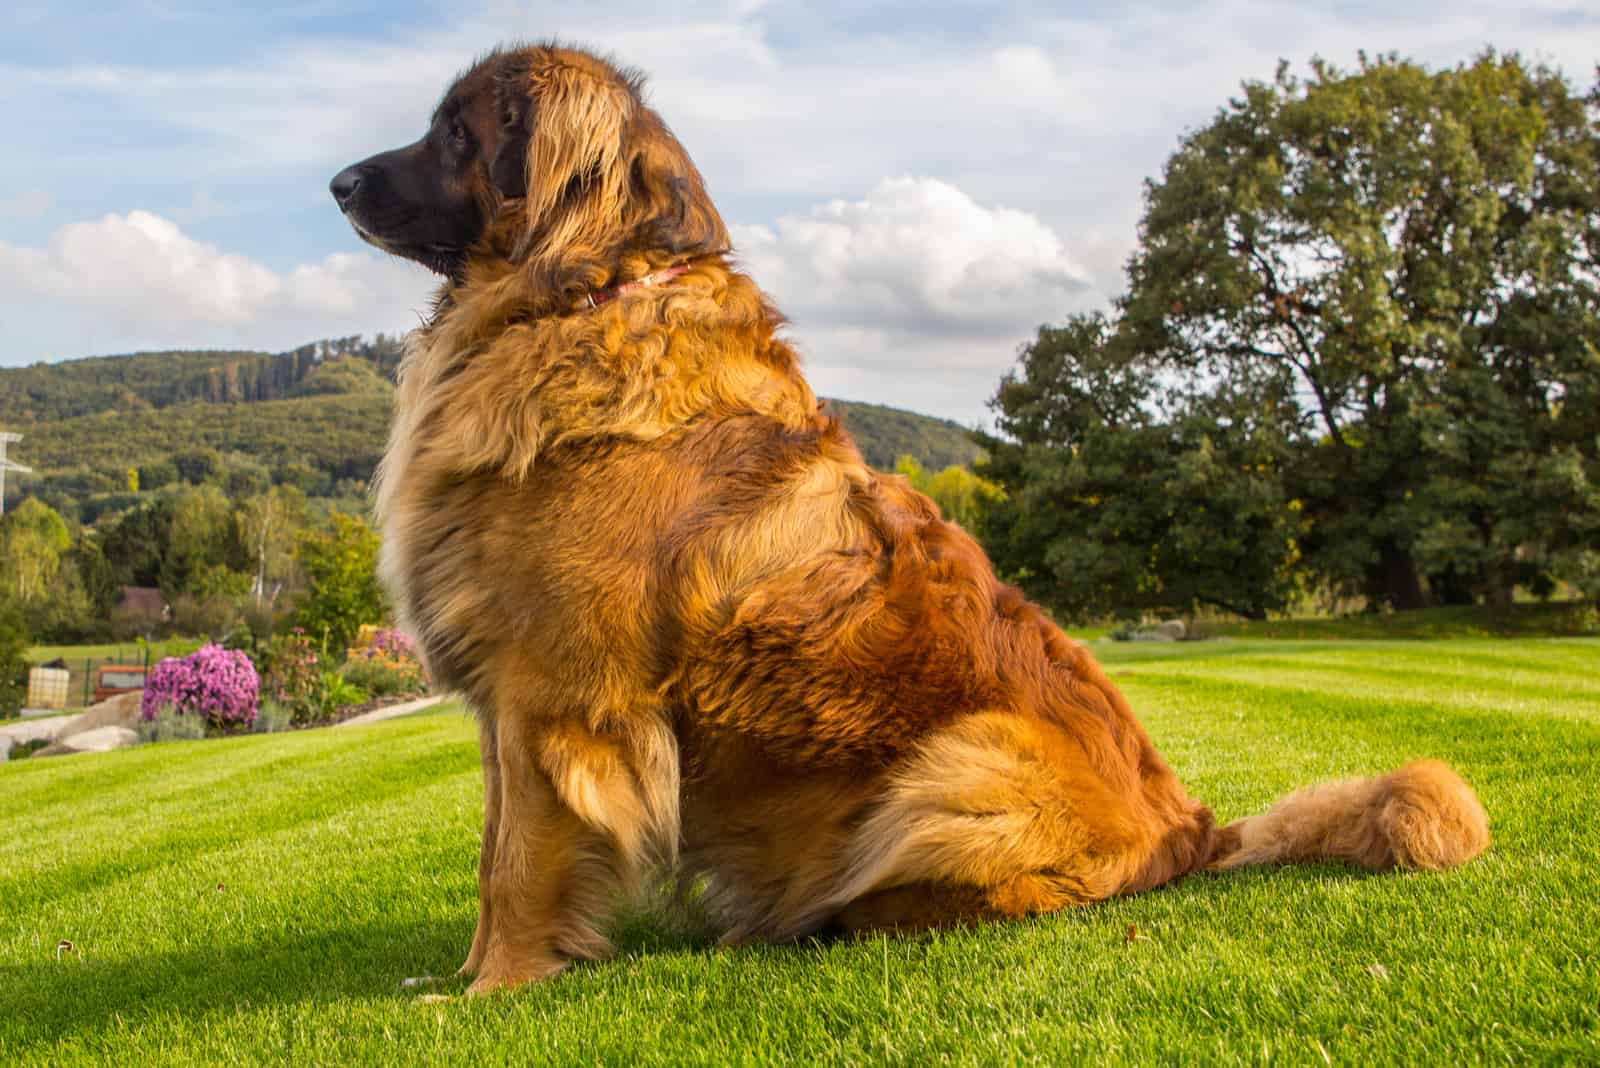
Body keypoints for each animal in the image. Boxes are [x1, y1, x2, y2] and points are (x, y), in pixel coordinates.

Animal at [331, 41, 1491, 991]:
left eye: (456, 133)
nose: (337, 182)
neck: (585, 297)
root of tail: (1194, 830)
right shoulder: (510, 708)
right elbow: (493, 848)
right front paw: (462, 976)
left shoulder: (554, 695)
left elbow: (520, 864)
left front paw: (491, 992)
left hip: (959, 762)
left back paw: (822, 915)